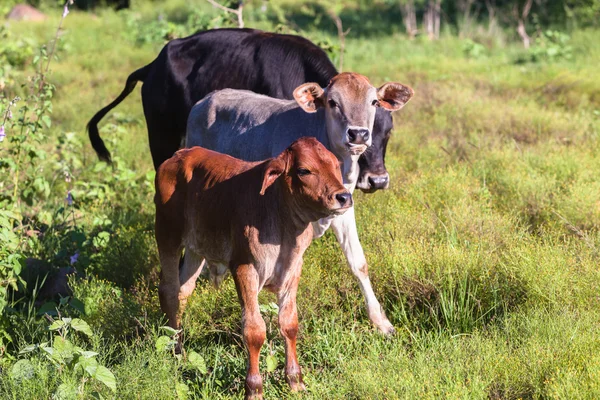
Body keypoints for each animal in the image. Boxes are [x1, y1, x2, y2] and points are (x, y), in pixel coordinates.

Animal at [155, 137, 352, 396]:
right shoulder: (244, 267)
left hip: (196, 249)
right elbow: (254, 330)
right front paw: (254, 388)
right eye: (303, 170)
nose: (343, 197)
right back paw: (176, 351)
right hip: (167, 234)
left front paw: (295, 380)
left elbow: (289, 323)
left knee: (183, 292)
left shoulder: (293, 269)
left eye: (335, 165)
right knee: (168, 291)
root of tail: (179, 155)